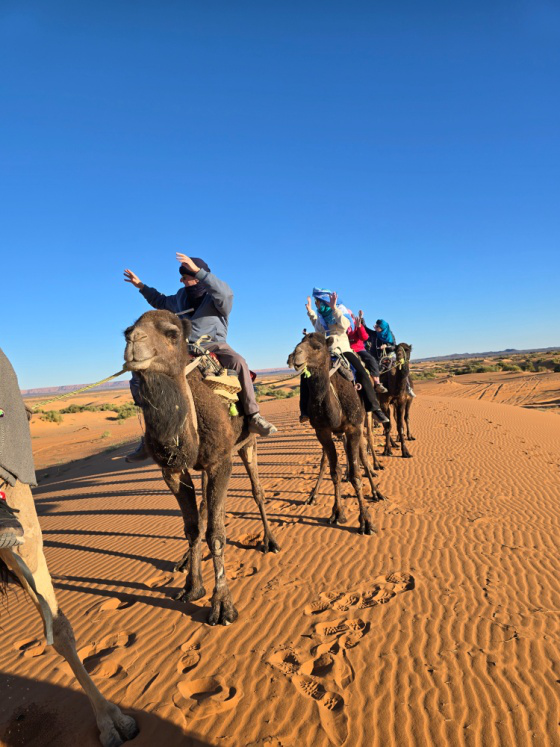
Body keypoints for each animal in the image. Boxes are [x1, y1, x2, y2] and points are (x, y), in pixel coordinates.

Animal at [124, 310, 279, 626]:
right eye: (126, 331)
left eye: (171, 333)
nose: (134, 340)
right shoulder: (172, 471)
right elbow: (193, 527)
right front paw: (192, 587)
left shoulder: (221, 461)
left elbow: (215, 535)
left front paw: (222, 606)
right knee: (206, 508)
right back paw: (185, 561)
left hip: (247, 443)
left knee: (257, 491)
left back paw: (269, 541)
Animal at [287, 333, 385, 534]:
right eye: (297, 344)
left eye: (317, 347)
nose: (294, 356)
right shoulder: (322, 431)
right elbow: (334, 471)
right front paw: (337, 513)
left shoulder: (353, 427)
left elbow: (356, 474)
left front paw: (366, 521)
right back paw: (313, 495)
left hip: (365, 417)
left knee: (364, 452)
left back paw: (376, 491)